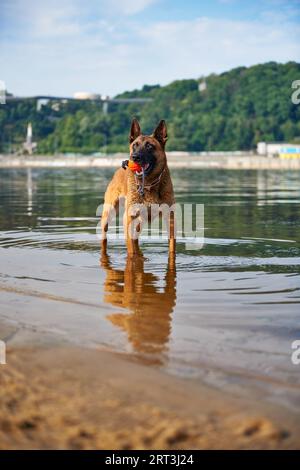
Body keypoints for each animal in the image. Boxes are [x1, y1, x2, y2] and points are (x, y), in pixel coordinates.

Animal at [101, 119, 176, 255]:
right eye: (135, 145)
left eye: (149, 146)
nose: (134, 157)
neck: (148, 184)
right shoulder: (129, 219)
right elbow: (131, 251)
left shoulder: (170, 218)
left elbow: (172, 249)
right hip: (108, 214)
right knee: (105, 237)